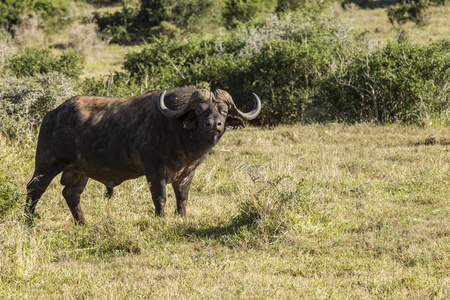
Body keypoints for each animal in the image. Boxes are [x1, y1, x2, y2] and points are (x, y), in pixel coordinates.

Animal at [24, 85, 262, 224]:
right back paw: (29, 221)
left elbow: (182, 198)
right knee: (34, 190)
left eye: (223, 111)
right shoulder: (155, 171)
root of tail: (52, 114)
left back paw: (82, 223)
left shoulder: (187, 174)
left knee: (71, 194)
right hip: (47, 165)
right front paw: (160, 220)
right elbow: (161, 197)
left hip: (79, 171)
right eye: (200, 110)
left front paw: (182, 217)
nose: (215, 124)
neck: (178, 132)